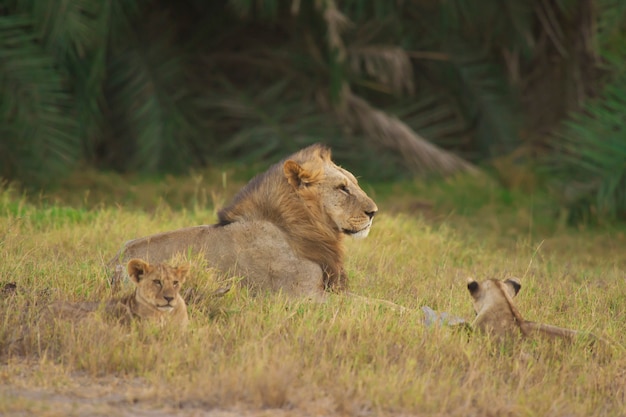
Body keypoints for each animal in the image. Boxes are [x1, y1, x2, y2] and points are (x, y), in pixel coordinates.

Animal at [108, 145, 376, 298]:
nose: (374, 212)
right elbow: (371, 305)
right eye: (342, 188)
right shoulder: (303, 295)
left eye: (355, 182)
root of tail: (110, 263)